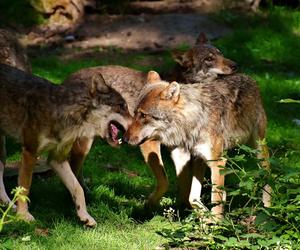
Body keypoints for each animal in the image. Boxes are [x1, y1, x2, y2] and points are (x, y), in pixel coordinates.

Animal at [0, 63, 129, 227]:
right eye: (121, 106)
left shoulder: (57, 159)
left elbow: (78, 188)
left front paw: (85, 216)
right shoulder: (30, 153)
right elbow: (25, 188)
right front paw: (23, 216)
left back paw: (9, 206)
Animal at [123, 71, 272, 221]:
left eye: (143, 115)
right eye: (134, 113)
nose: (124, 139)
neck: (191, 122)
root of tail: (248, 77)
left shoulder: (216, 162)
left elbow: (214, 200)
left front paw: (215, 223)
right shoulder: (187, 157)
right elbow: (191, 196)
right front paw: (204, 216)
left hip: (258, 150)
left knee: (267, 173)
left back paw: (268, 207)